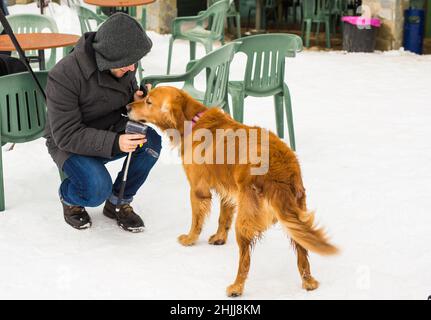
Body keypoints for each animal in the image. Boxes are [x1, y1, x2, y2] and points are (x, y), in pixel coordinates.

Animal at [126, 86, 340, 296]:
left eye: (148, 101)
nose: (127, 107)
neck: (193, 120)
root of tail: (280, 173)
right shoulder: (228, 190)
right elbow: (224, 217)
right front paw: (219, 238)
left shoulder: (198, 189)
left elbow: (196, 221)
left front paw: (189, 239)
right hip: (296, 214)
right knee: (302, 252)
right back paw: (309, 281)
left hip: (245, 221)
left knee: (245, 260)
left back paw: (236, 287)